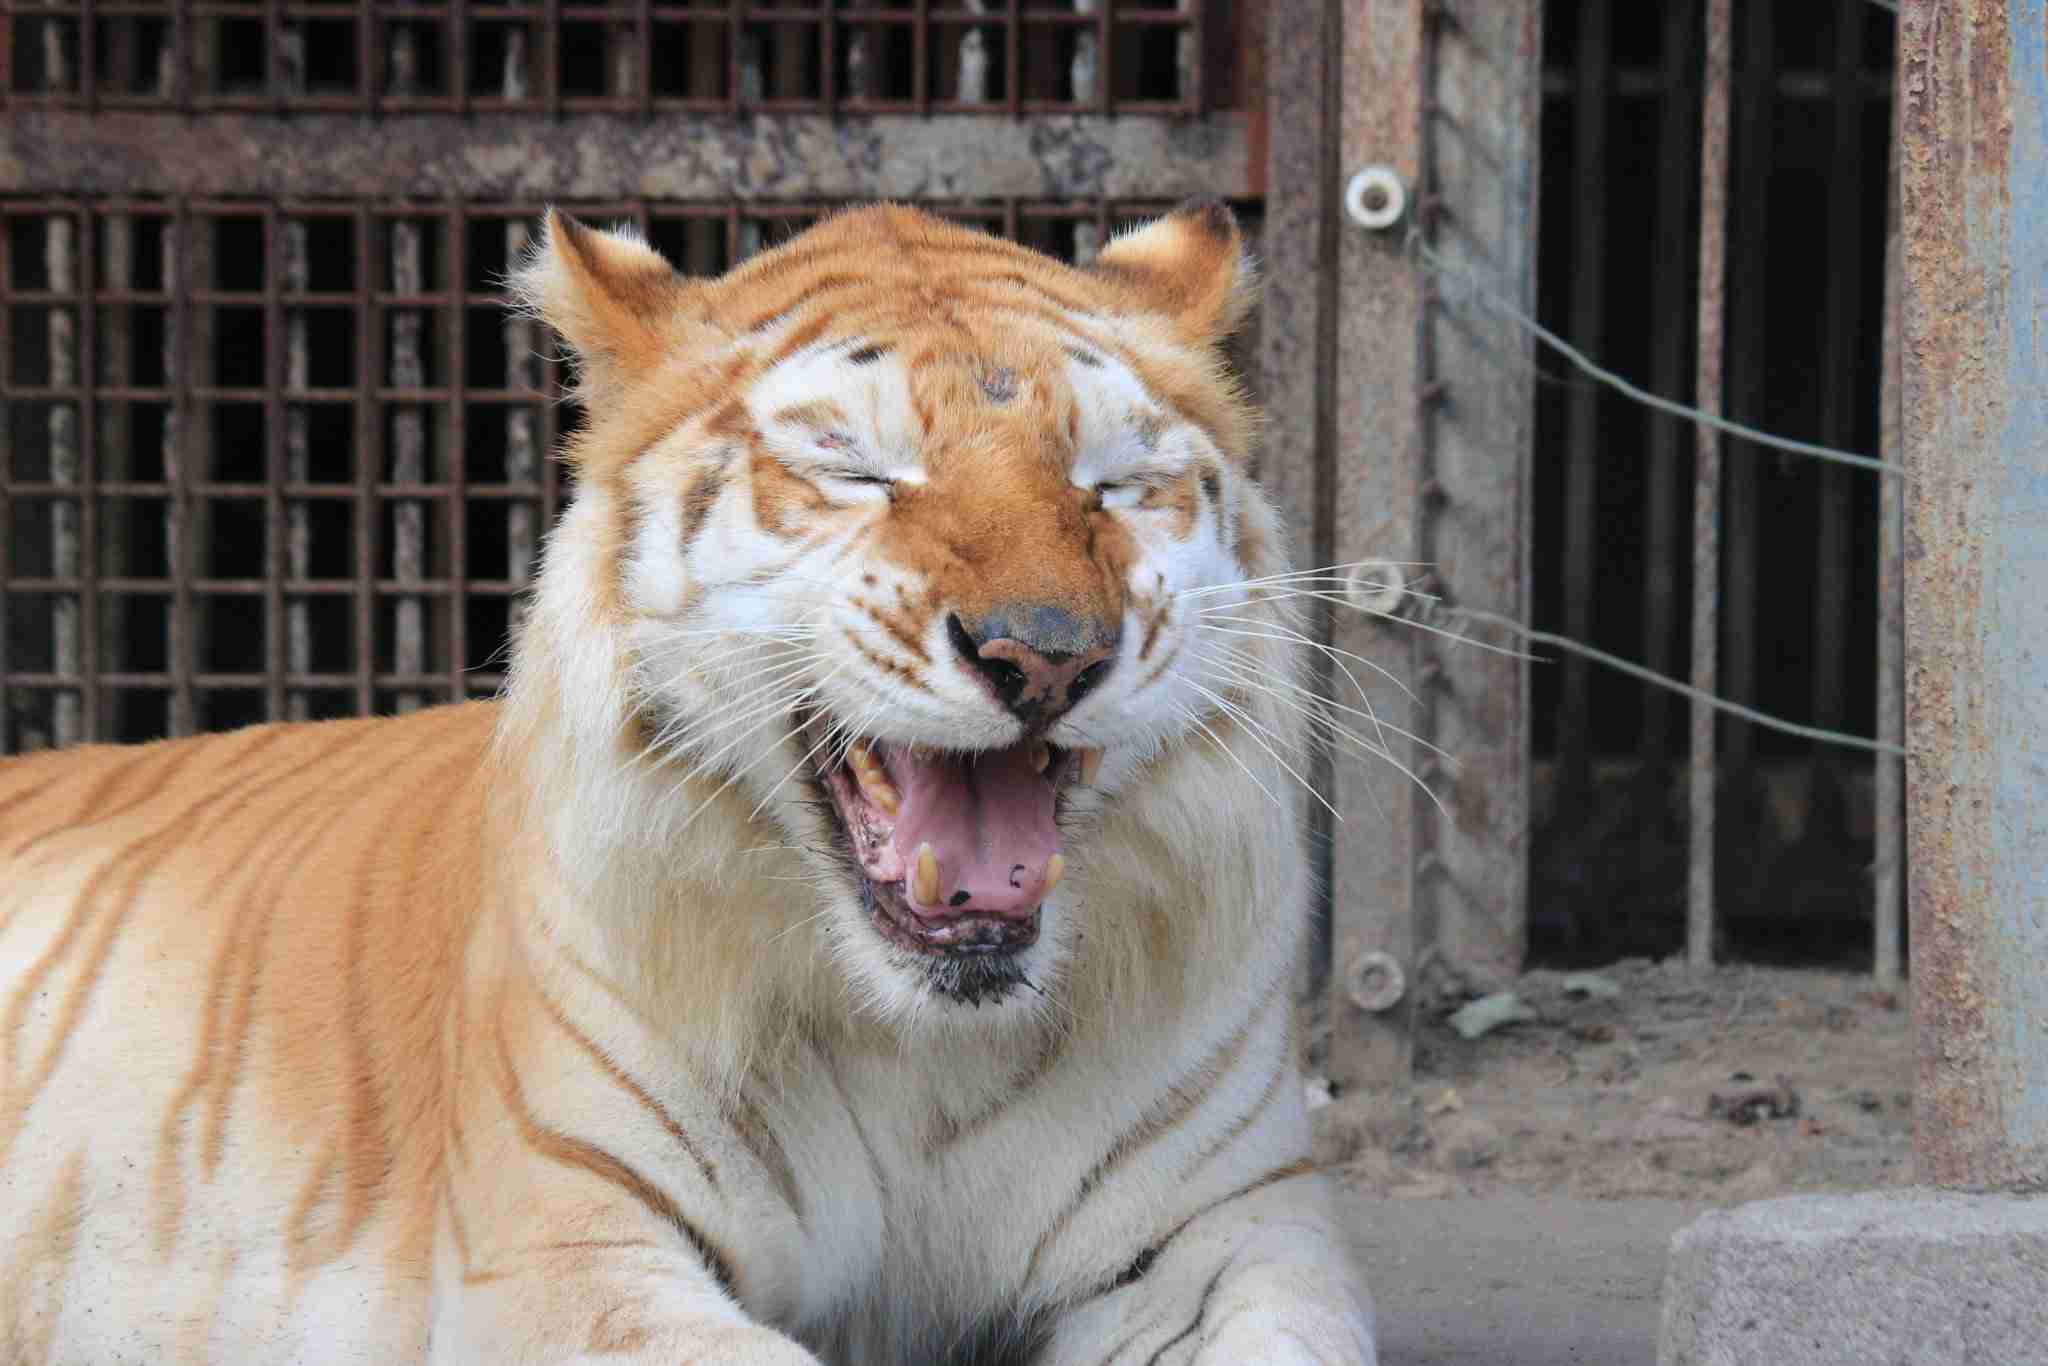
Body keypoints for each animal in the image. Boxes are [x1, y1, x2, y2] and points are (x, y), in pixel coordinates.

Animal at [0, 200, 1376, 1364]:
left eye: (1113, 482)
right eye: (855, 470)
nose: (1045, 651)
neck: (922, 1048)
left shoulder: (1233, 1231)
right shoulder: (574, 1245)